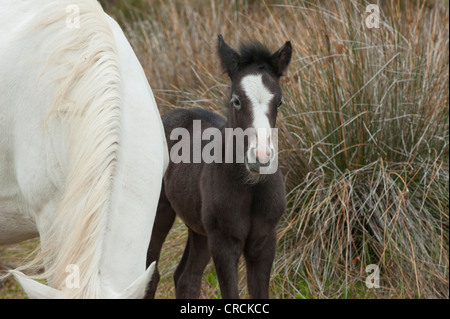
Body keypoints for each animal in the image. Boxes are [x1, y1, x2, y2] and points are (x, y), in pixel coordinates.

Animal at [145, 35, 292, 300]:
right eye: (236, 100)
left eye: (280, 102)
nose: (261, 157)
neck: (250, 187)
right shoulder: (224, 243)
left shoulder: (264, 242)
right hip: (161, 213)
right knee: (151, 275)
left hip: (200, 230)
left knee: (186, 277)